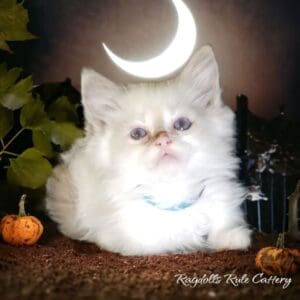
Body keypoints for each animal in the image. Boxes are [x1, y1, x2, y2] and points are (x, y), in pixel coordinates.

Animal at [45, 45, 251, 254]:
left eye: (182, 124)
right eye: (138, 133)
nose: (163, 140)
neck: (171, 192)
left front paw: (228, 238)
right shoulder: (125, 238)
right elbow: (165, 240)